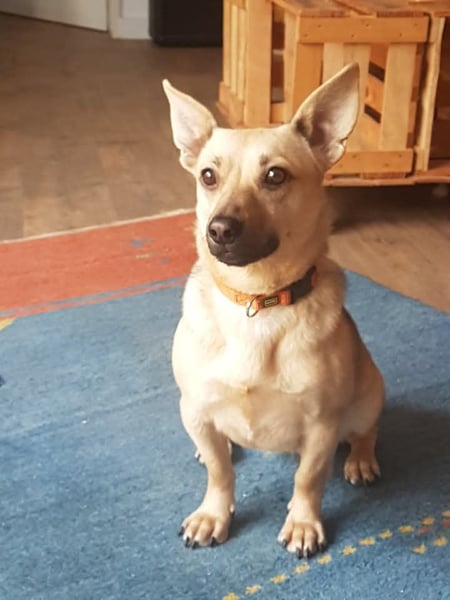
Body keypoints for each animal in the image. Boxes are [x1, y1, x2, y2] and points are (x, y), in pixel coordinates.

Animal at [162, 63, 384, 558]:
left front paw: (303, 524)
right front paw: (213, 514)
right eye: (208, 176)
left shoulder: (321, 424)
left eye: (276, 176)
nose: (219, 229)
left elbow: (308, 478)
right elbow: (220, 472)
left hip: (369, 394)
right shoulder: (196, 406)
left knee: (363, 432)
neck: (256, 301)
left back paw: (362, 460)